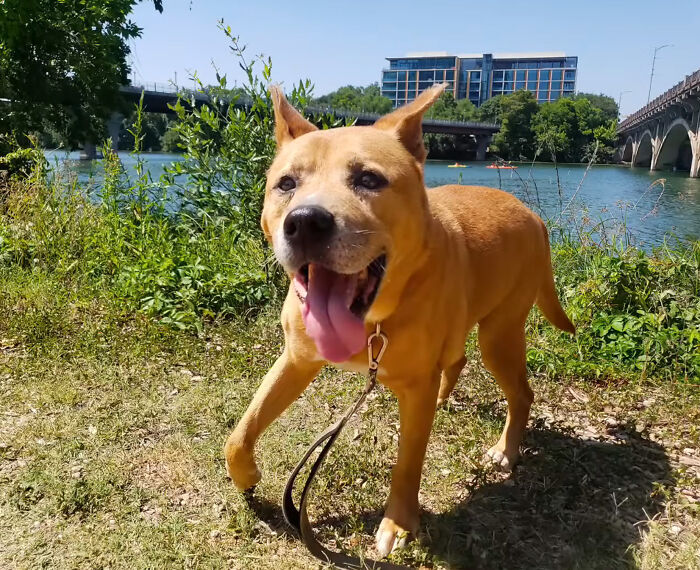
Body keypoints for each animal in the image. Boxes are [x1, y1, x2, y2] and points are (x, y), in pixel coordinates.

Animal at [224, 84, 576, 556]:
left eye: (369, 180)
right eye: (287, 184)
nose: (305, 222)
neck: (374, 319)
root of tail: (534, 215)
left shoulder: (413, 390)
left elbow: (408, 463)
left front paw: (399, 523)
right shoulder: (297, 359)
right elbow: (240, 432)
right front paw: (246, 477)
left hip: (499, 335)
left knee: (520, 392)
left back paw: (505, 449)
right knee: (457, 360)